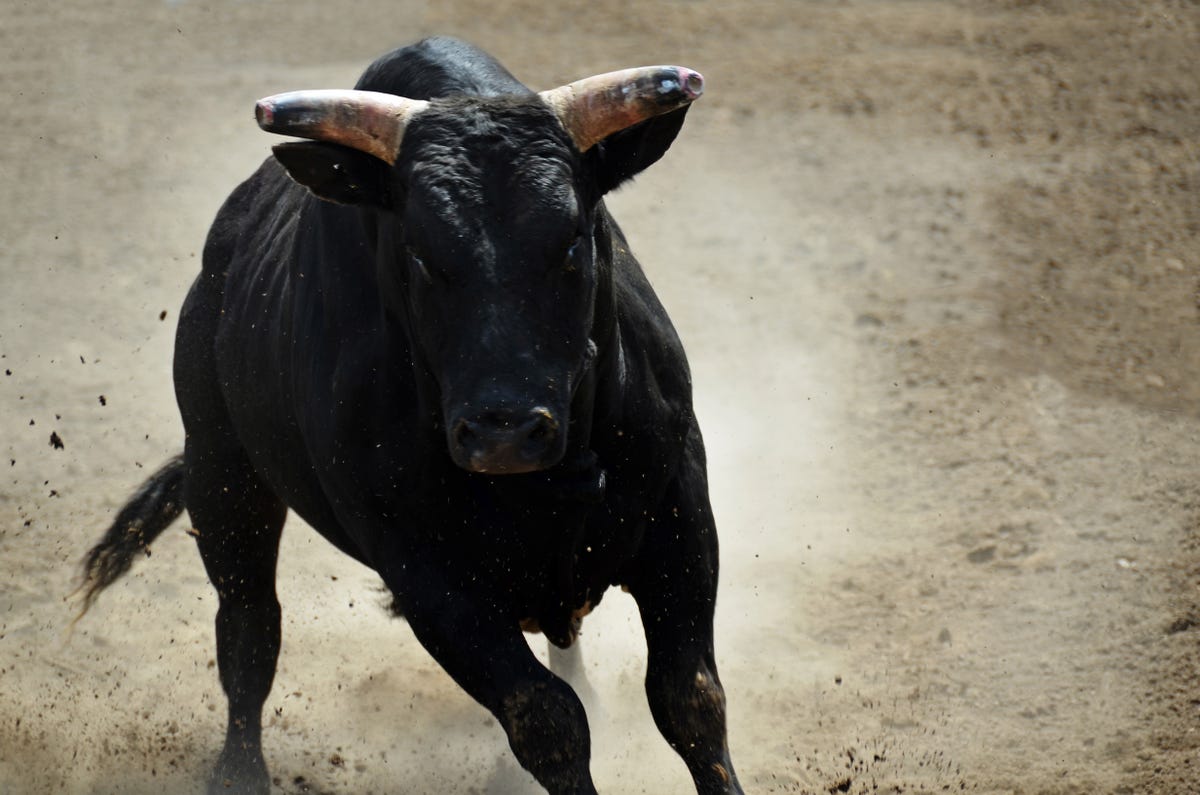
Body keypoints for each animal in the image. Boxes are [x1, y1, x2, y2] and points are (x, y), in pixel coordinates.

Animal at [77, 37, 739, 795]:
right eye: (420, 253)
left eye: (574, 240)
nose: (504, 433)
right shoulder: (428, 576)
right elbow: (546, 720)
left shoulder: (681, 517)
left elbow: (690, 699)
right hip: (223, 473)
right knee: (249, 631)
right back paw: (239, 770)